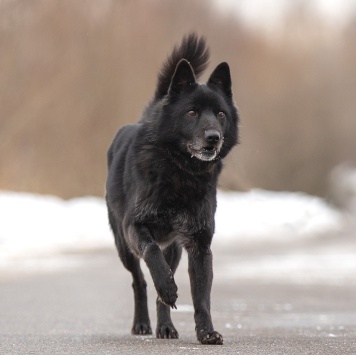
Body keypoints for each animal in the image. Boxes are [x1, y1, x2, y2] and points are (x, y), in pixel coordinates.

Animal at [105, 33, 239, 344]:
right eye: (191, 112)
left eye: (220, 114)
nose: (213, 138)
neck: (181, 172)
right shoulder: (136, 228)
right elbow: (152, 255)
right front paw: (167, 287)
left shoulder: (199, 245)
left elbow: (202, 296)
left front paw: (206, 332)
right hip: (123, 246)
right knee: (140, 282)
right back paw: (142, 323)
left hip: (175, 250)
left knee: (159, 292)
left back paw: (165, 326)